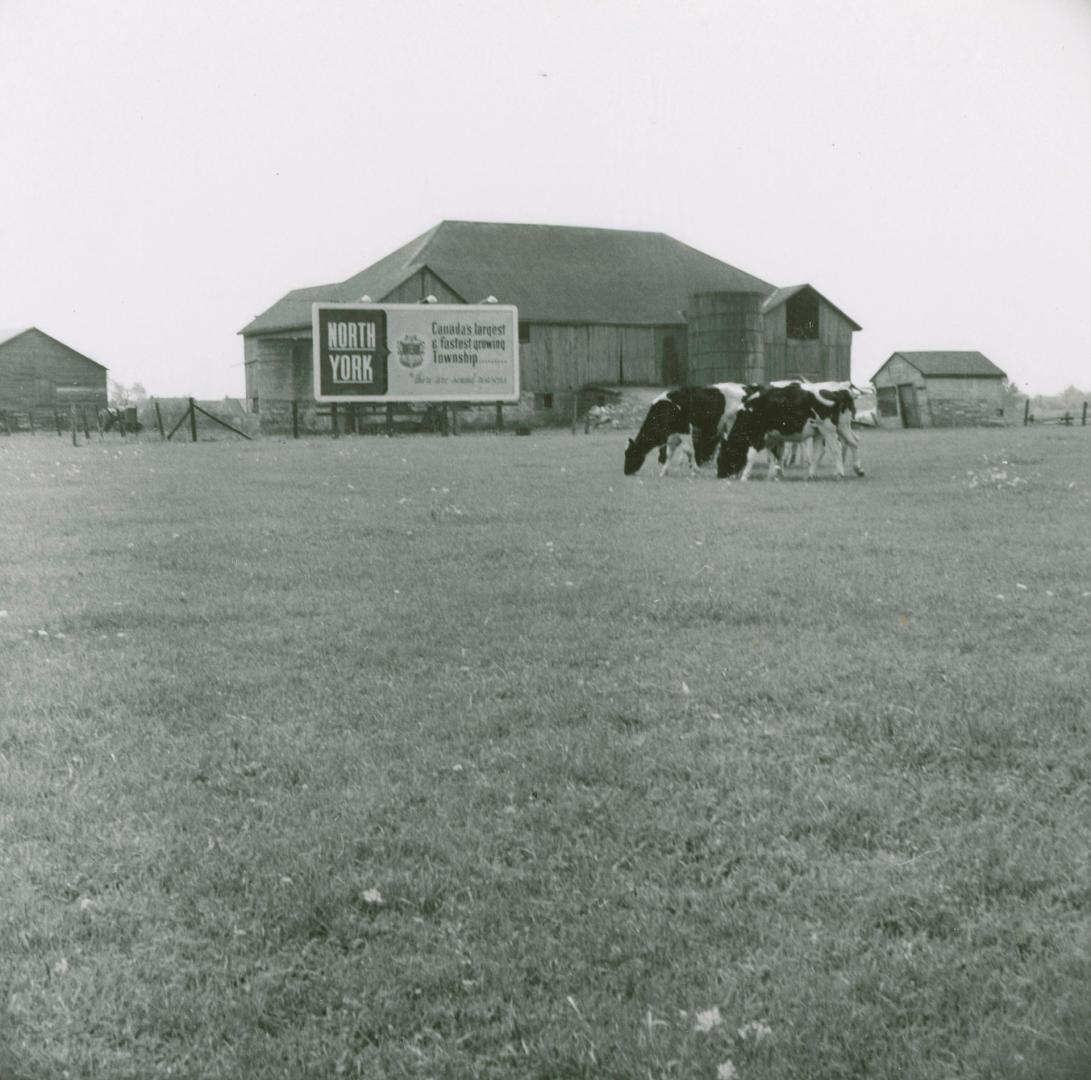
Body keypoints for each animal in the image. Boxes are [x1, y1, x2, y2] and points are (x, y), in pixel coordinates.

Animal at [624, 384, 759, 477]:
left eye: (630, 453)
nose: (626, 472)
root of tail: (747, 389)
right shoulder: (673, 435)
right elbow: (669, 453)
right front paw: (663, 472)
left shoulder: (685, 430)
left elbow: (688, 450)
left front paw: (695, 471)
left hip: (733, 426)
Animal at [715, 381, 859, 480]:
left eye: (723, 455)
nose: (720, 475)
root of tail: (841, 390)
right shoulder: (772, 438)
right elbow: (773, 456)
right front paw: (772, 475)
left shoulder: (758, 436)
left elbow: (751, 456)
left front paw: (745, 477)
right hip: (836, 428)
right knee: (850, 443)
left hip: (828, 429)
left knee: (836, 449)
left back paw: (840, 474)